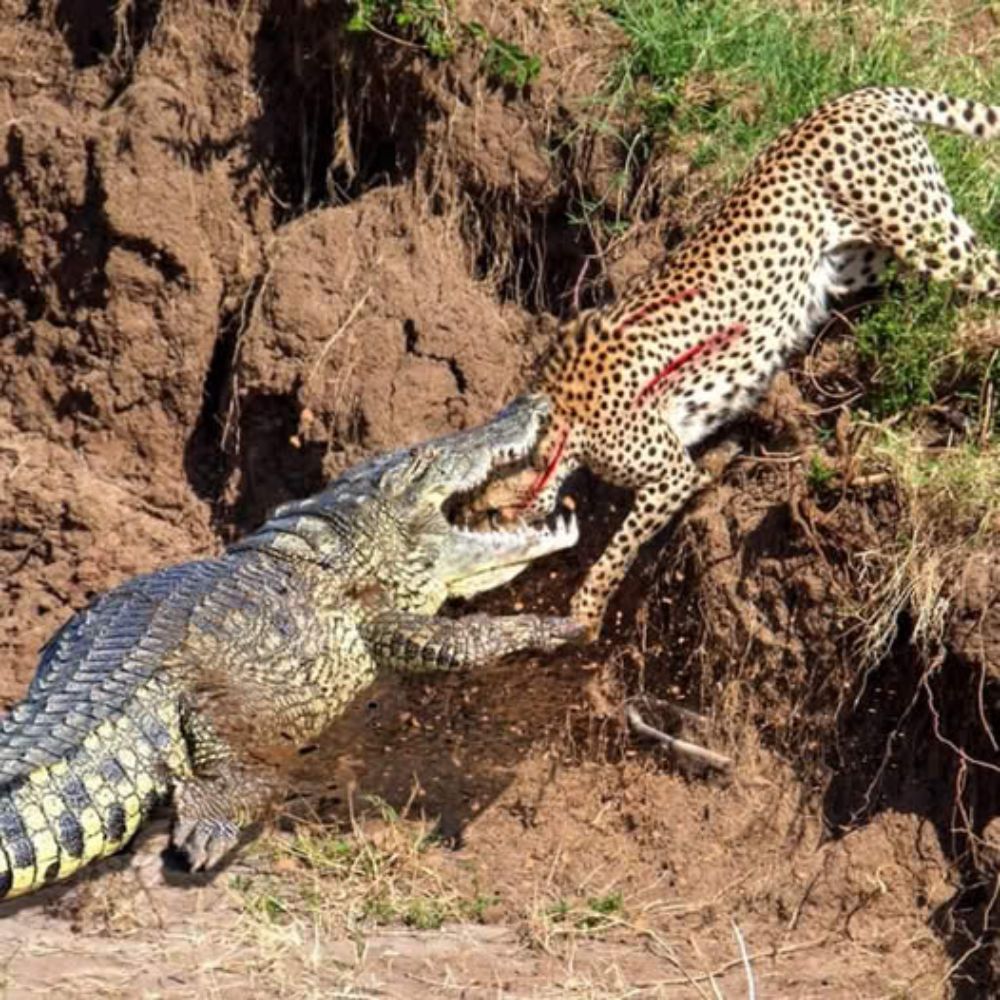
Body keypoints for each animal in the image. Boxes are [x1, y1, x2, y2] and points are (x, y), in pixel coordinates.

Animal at [476, 90, 1000, 640]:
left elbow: (619, 546)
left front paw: (586, 612)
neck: (561, 425)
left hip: (921, 232)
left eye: (487, 512)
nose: (483, 541)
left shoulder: (670, 475)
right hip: (861, 259)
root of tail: (849, 98)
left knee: (989, 265)